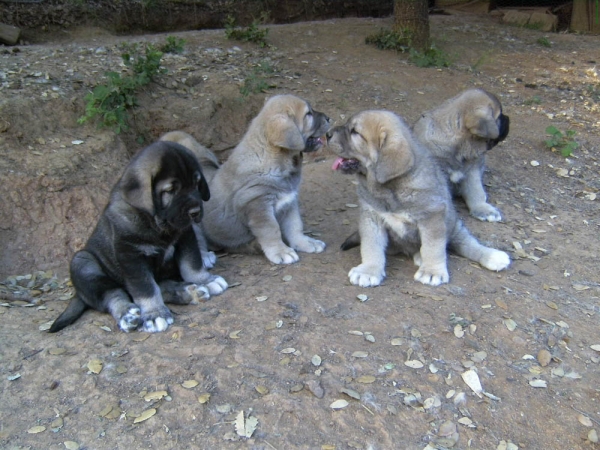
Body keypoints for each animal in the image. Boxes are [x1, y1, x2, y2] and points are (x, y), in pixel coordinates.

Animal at [48, 141, 227, 334]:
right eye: (171, 190)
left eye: (196, 183)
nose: (195, 211)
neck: (157, 224)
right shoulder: (132, 255)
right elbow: (145, 288)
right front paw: (155, 314)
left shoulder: (186, 237)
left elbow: (192, 264)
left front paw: (206, 280)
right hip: (82, 262)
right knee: (115, 293)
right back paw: (128, 314)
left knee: (156, 285)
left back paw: (189, 291)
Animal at [163, 94, 332, 264]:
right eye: (308, 114)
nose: (329, 118)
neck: (276, 160)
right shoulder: (258, 205)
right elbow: (272, 230)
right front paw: (280, 251)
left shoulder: (289, 202)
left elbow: (295, 226)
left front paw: (305, 242)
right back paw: (205, 257)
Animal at [328, 109, 510, 286]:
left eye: (354, 132)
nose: (328, 133)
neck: (390, 189)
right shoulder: (371, 216)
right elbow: (371, 246)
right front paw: (369, 270)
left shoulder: (432, 217)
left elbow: (433, 247)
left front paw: (432, 272)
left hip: (453, 225)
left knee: (465, 243)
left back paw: (493, 256)